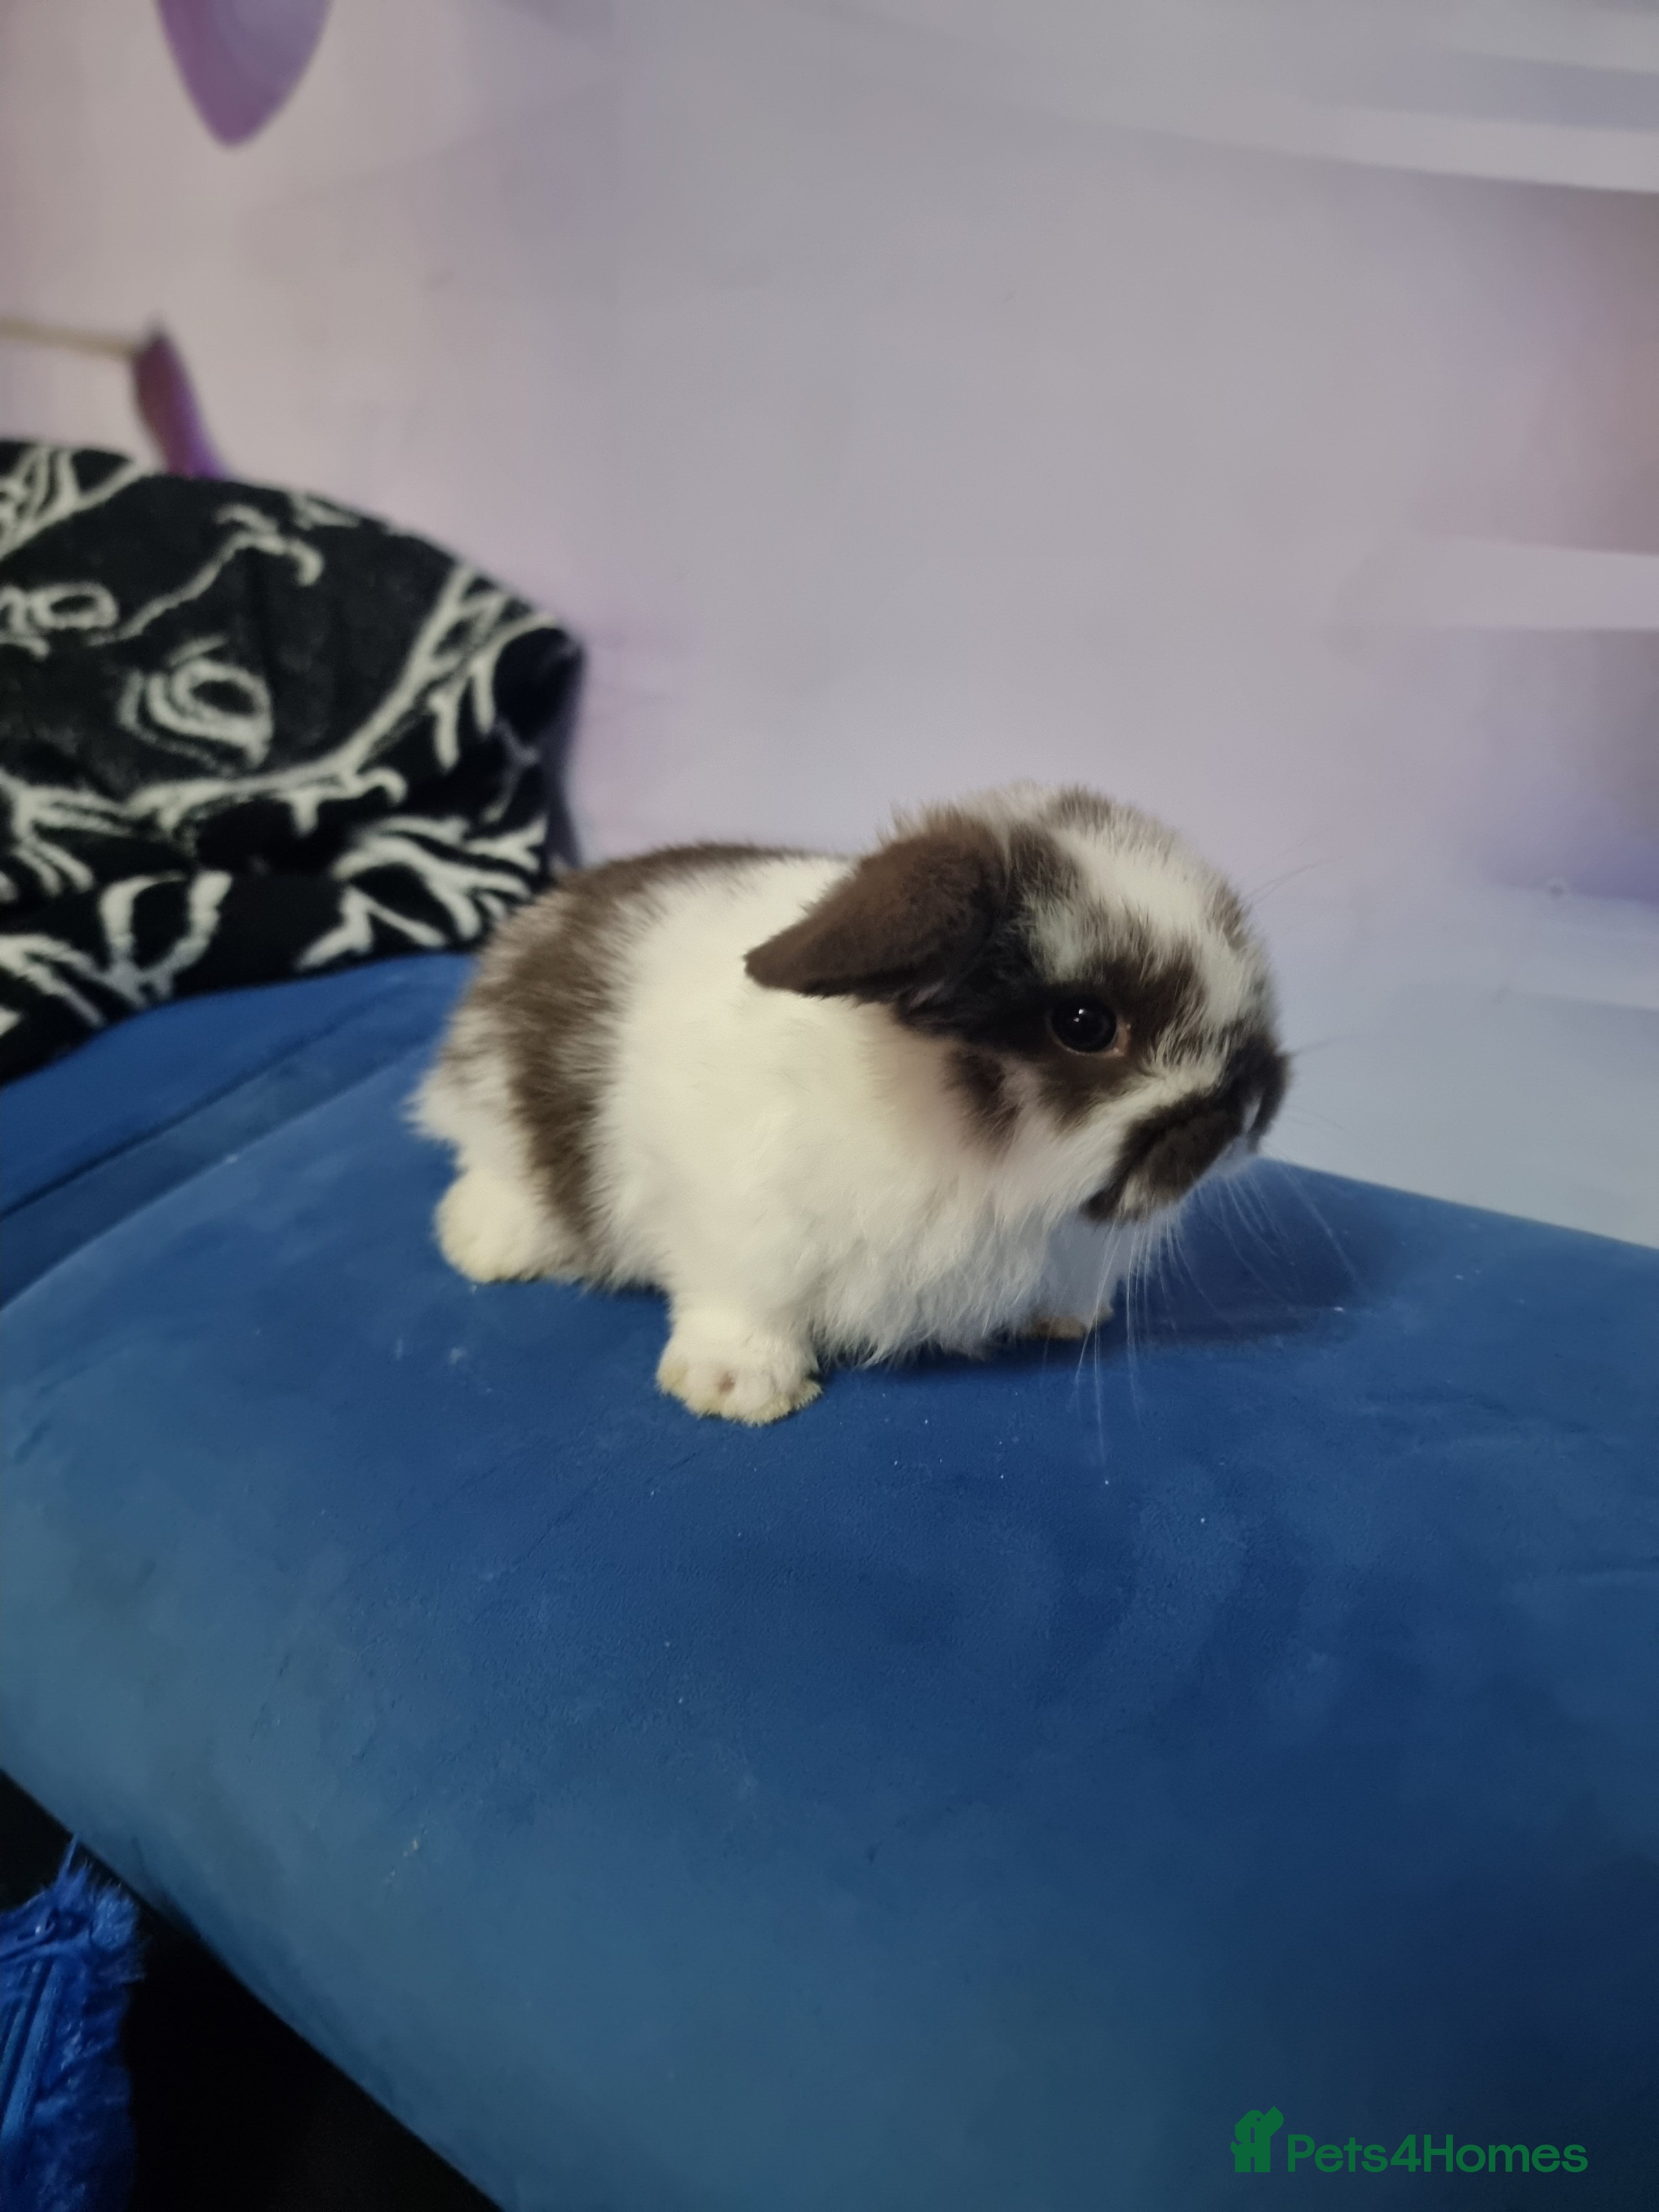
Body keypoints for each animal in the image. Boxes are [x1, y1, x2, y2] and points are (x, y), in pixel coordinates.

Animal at [414, 782, 1286, 1423]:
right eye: (1085, 1024)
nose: (1247, 1114)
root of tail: (532, 926)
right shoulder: (738, 1224)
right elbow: (743, 1298)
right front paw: (740, 1392)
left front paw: (1072, 1318)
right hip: (501, 1116)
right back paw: (486, 1244)